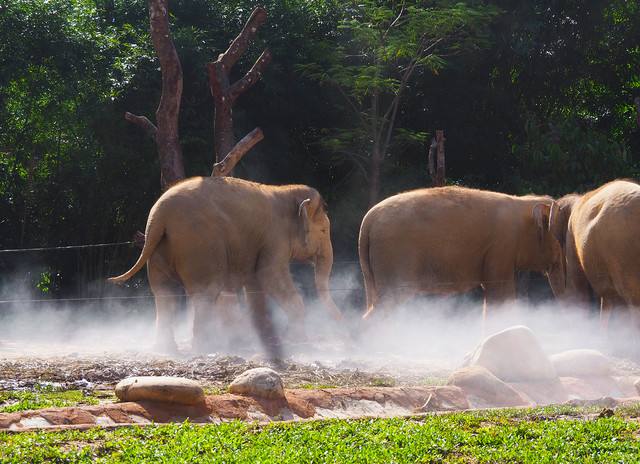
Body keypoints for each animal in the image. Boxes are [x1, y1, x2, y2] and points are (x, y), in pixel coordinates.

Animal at [109, 176, 344, 358]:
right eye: (324, 231)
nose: (346, 330)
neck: (285, 191)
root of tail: (159, 214)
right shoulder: (274, 237)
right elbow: (271, 276)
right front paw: (301, 343)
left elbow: (255, 284)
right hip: (200, 245)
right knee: (205, 292)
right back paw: (205, 347)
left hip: (160, 248)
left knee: (165, 294)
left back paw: (167, 350)